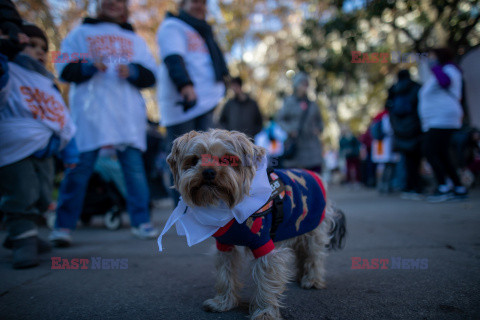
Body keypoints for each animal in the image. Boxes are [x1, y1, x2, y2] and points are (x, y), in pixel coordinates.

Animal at [164, 129, 344, 318]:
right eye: (194, 160)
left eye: (227, 160)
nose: (208, 172)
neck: (225, 206)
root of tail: (316, 175)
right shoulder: (224, 245)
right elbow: (225, 273)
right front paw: (223, 302)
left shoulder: (263, 243)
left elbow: (266, 279)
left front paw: (264, 312)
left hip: (314, 228)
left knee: (314, 254)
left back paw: (312, 279)